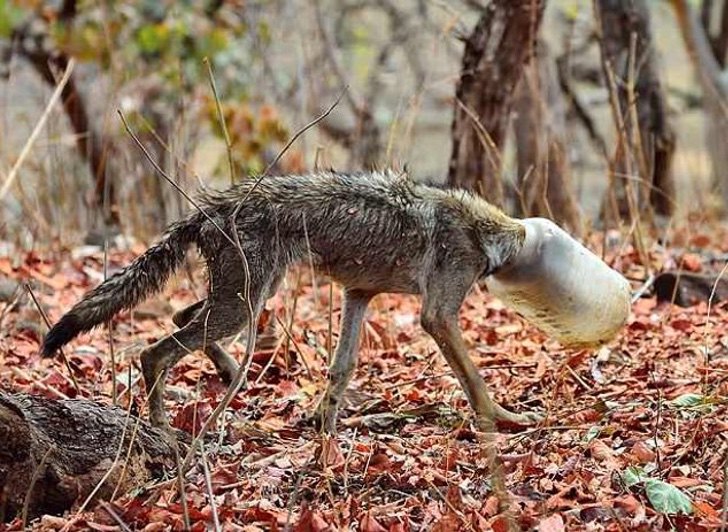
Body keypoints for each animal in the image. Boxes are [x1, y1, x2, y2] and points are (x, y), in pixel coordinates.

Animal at [41, 170, 542, 432]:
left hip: (250, 299)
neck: (483, 232)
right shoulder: (437, 316)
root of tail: (207, 209)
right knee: (154, 351)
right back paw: (163, 426)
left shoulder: (358, 294)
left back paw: (229, 373)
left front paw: (326, 424)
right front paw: (504, 418)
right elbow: (475, 380)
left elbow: (342, 368)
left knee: (181, 317)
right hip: (242, 306)